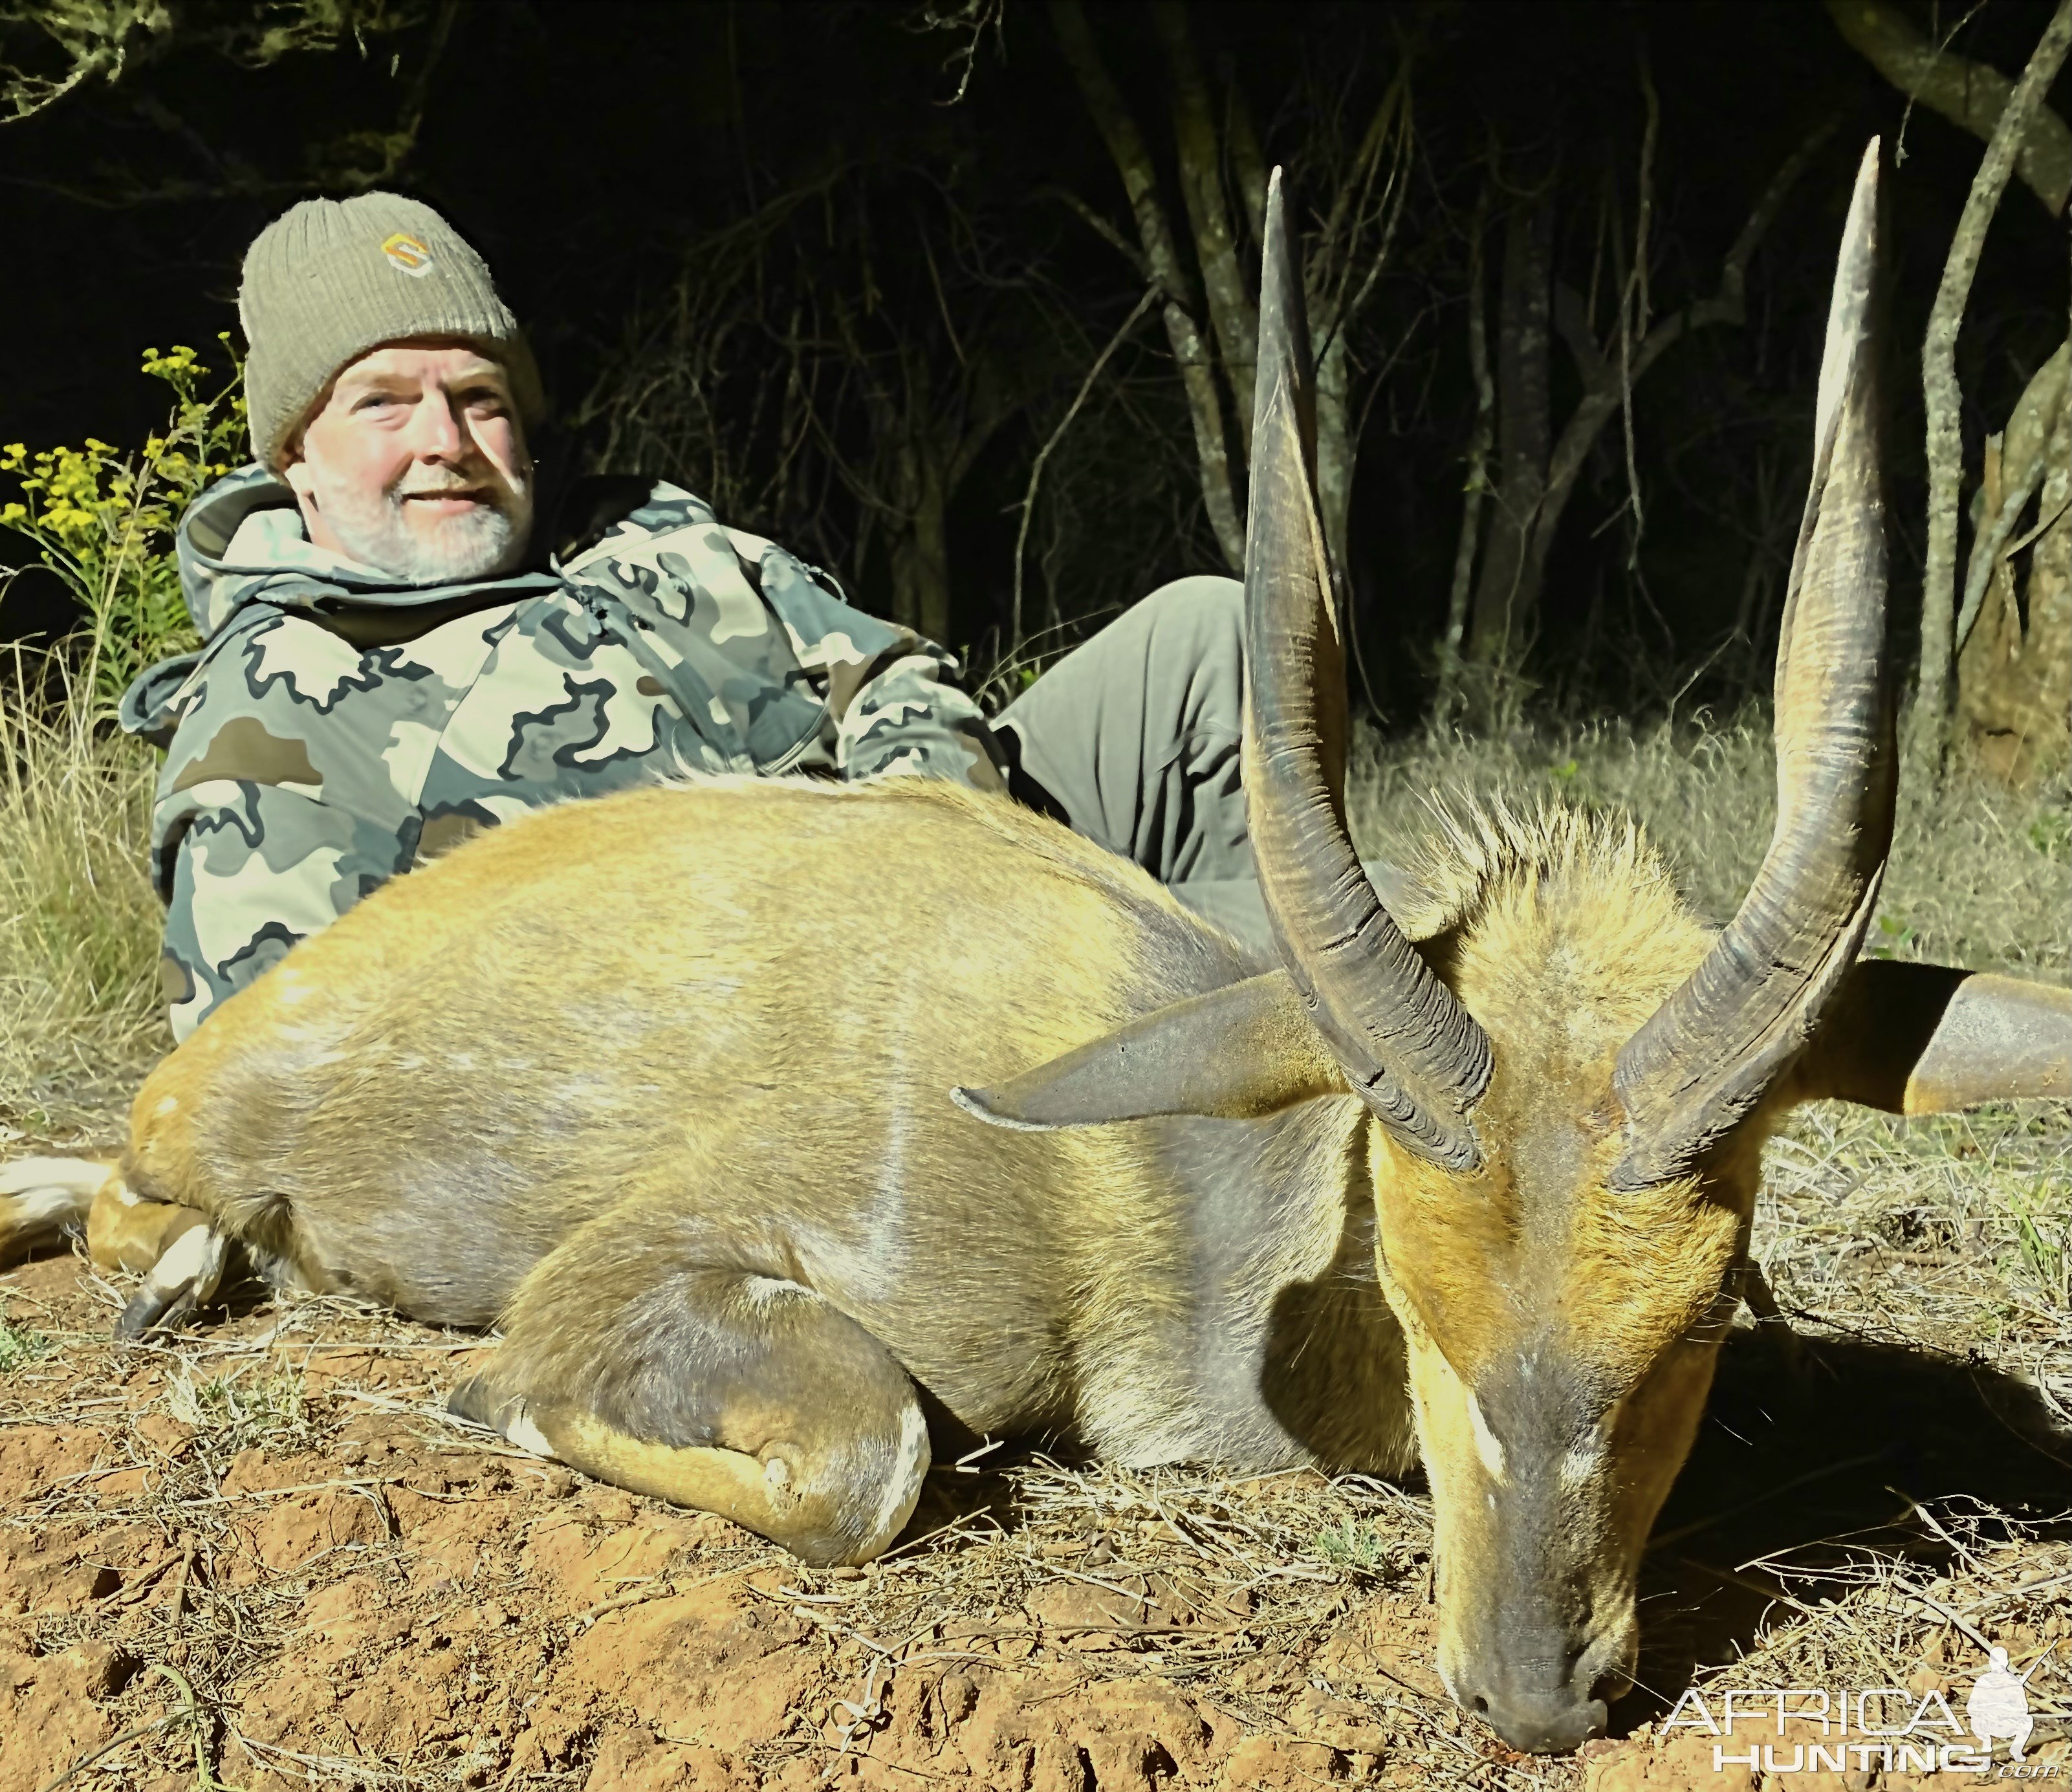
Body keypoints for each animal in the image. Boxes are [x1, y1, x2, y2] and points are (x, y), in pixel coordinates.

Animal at [0, 153, 2064, 1748]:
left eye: (1700, 1314)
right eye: (1413, 1295)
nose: (1536, 1695)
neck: (1168, 1194)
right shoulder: (656, 1276)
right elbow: (859, 1461)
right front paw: (475, 1401)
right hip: (197, 1158)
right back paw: (179, 1274)